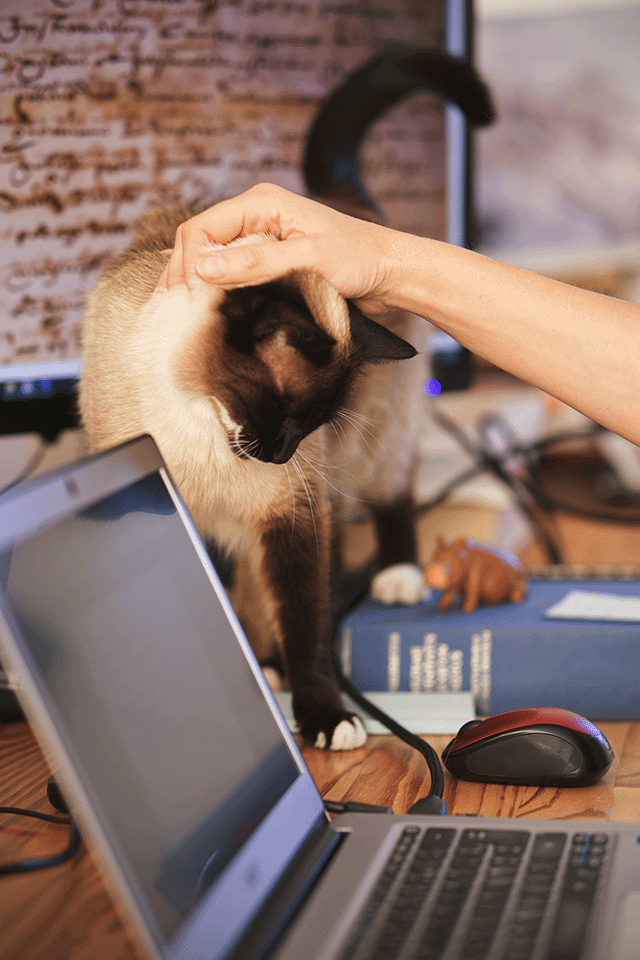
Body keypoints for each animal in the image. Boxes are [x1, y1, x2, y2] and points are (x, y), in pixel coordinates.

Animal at [80, 47, 496, 752]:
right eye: (279, 411)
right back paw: (266, 662)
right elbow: (226, 605)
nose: (277, 456)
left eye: (309, 423)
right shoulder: (193, 515)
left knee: (393, 495)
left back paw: (395, 577)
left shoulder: (294, 514)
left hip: (367, 449)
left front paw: (324, 716)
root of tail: (340, 201)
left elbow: (305, 621)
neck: (199, 424)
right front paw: (249, 677)